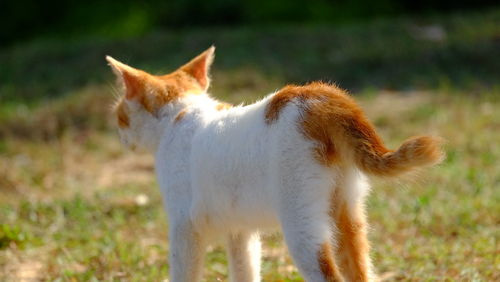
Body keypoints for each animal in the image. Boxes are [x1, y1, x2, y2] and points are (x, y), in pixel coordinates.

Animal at [107, 47, 444, 280]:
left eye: (119, 116)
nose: (120, 137)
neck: (181, 114)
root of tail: (320, 96)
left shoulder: (184, 228)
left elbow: (183, 273)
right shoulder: (240, 231)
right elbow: (245, 270)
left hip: (301, 222)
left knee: (328, 274)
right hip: (348, 213)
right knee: (359, 270)